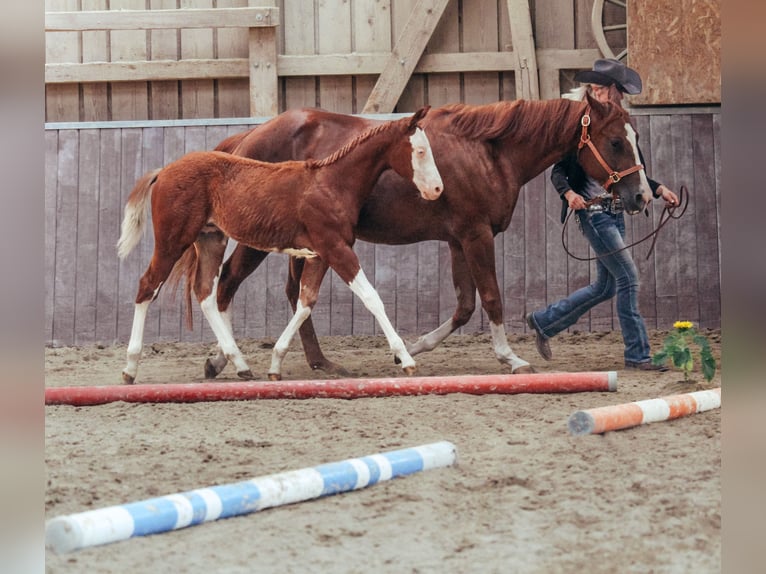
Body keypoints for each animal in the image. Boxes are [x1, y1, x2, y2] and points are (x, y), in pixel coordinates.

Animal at [116, 107, 443, 384]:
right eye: (420, 151)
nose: (437, 189)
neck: (332, 183)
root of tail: (163, 170)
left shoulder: (319, 255)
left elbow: (305, 302)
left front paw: (275, 364)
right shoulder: (336, 249)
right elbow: (372, 298)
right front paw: (405, 359)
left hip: (211, 239)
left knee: (206, 293)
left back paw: (240, 364)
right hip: (173, 241)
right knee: (148, 286)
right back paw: (130, 368)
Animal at [199, 91, 653, 379]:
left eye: (635, 138)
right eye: (616, 141)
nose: (641, 196)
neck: (488, 153)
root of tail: (246, 138)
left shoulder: (457, 240)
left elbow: (465, 307)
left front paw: (412, 349)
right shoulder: (476, 235)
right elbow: (491, 298)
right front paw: (512, 358)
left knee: (291, 293)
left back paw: (316, 363)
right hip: (261, 239)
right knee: (229, 283)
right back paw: (224, 360)